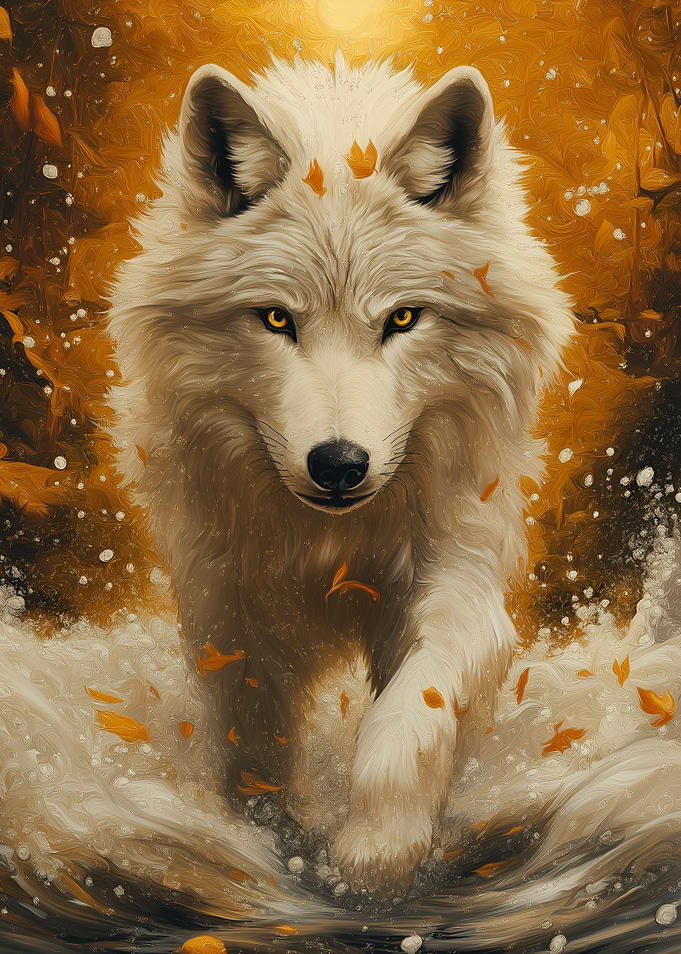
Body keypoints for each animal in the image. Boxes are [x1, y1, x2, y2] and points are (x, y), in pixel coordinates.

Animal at [107, 54, 574, 892]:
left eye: (401, 319)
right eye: (275, 319)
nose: (338, 463)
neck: (331, 545)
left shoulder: (457, 566)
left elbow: (412, 713)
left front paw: (377, 854)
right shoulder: (224, 597)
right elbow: (253, 738)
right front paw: (270, 841)